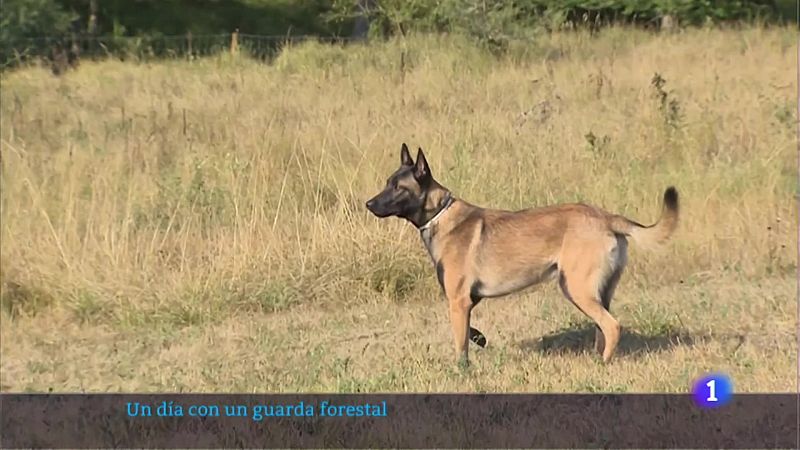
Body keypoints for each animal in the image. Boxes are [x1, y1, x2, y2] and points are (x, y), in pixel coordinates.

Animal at [366, 142, 680, 368]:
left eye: (399, 188)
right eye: (387, 182)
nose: (368, 204)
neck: (440, 214)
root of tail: (607, 218)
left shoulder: (458, 301)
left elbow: (460, 343)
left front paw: (462, 370)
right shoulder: (468, 300)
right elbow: (470, 332)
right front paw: (480, 339)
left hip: (575, 288)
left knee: (612, 326)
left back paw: (602, 364)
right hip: (599, 292)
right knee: (601, 327)